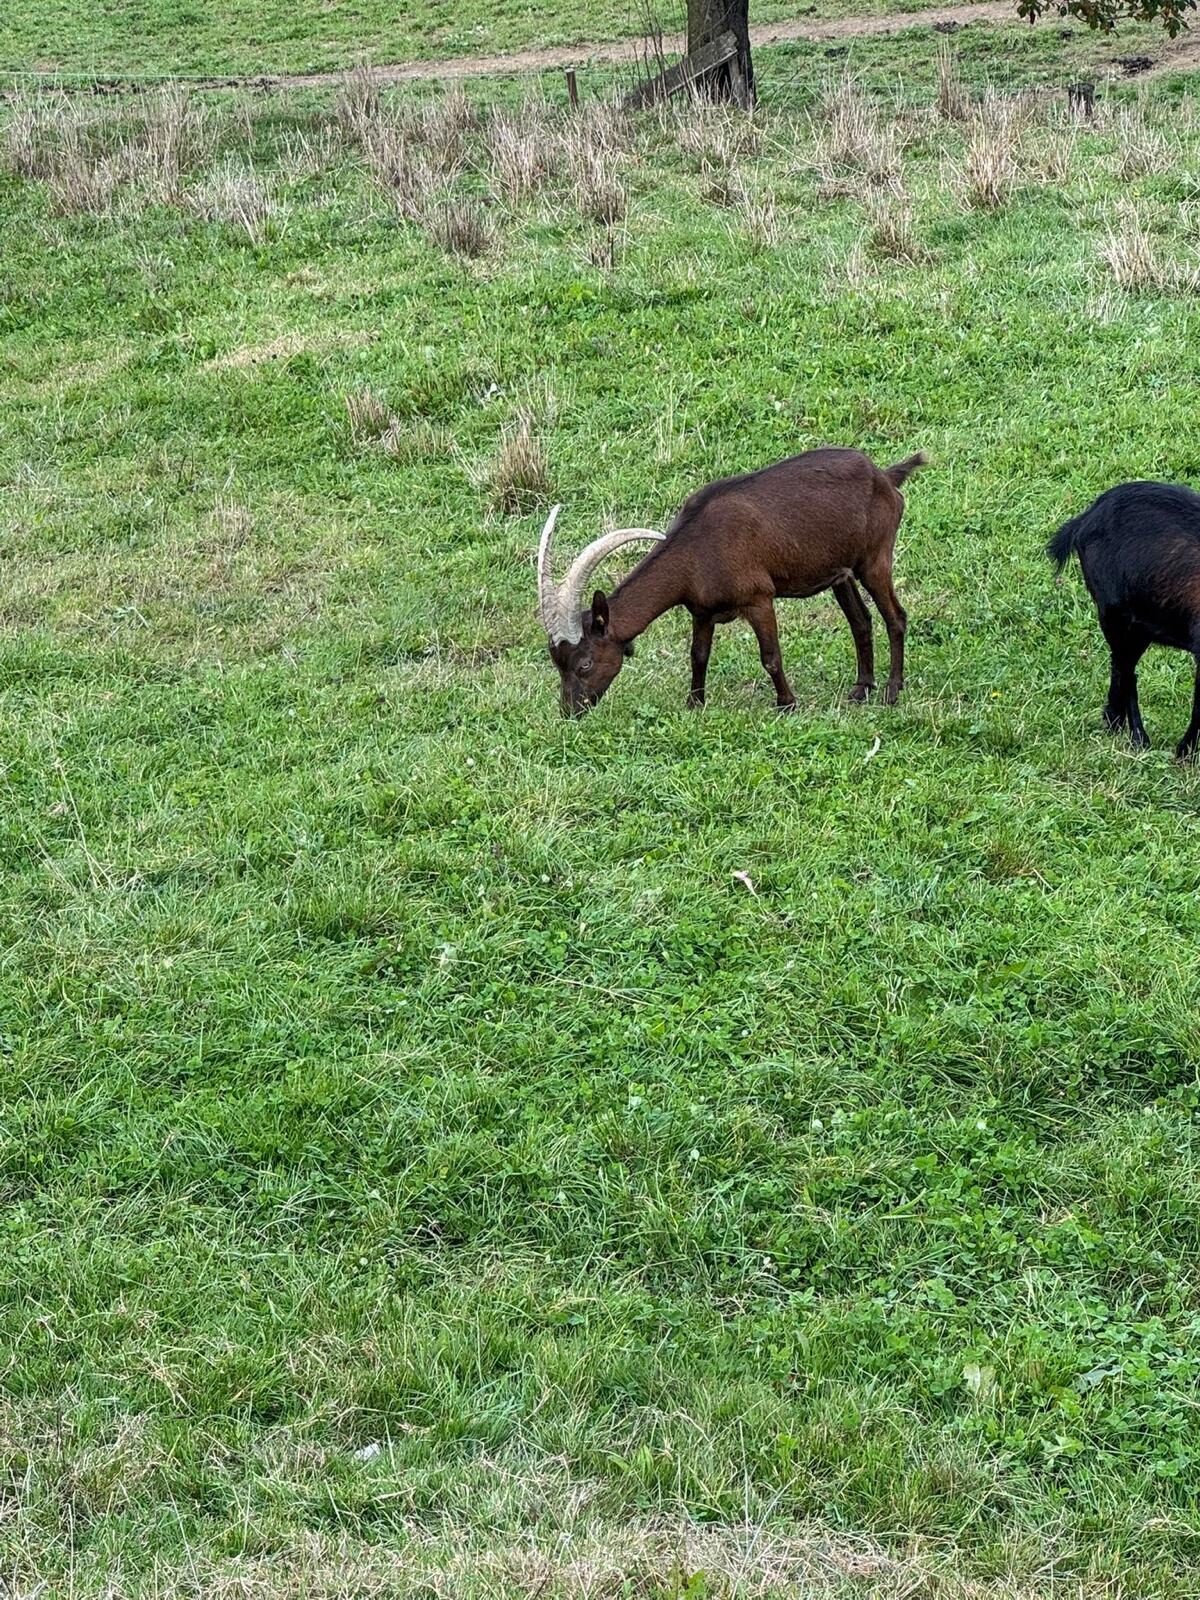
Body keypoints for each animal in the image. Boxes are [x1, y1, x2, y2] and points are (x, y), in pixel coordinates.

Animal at [537, 446, 926, 717]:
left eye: (585, 664)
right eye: (557, 662)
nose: (570, 712)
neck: (697, 547)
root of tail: (884, 477)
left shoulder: (759, 599)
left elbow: (770, 656)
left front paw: (787, 704)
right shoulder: (701, 611)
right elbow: (698, 656)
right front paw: (694, 703)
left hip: (874, 560)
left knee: (895, 617)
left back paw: (892, 691)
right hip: (840, 573)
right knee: (861, 620)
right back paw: (861, 689)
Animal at [1049, 480, 1200, 759]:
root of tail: (1085, 519)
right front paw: (1184, 753)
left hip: (1139, 627)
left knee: (1120, 668)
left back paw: (1113, 722)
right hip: (1116, 615)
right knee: (1126, 672)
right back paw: (1138, 737)